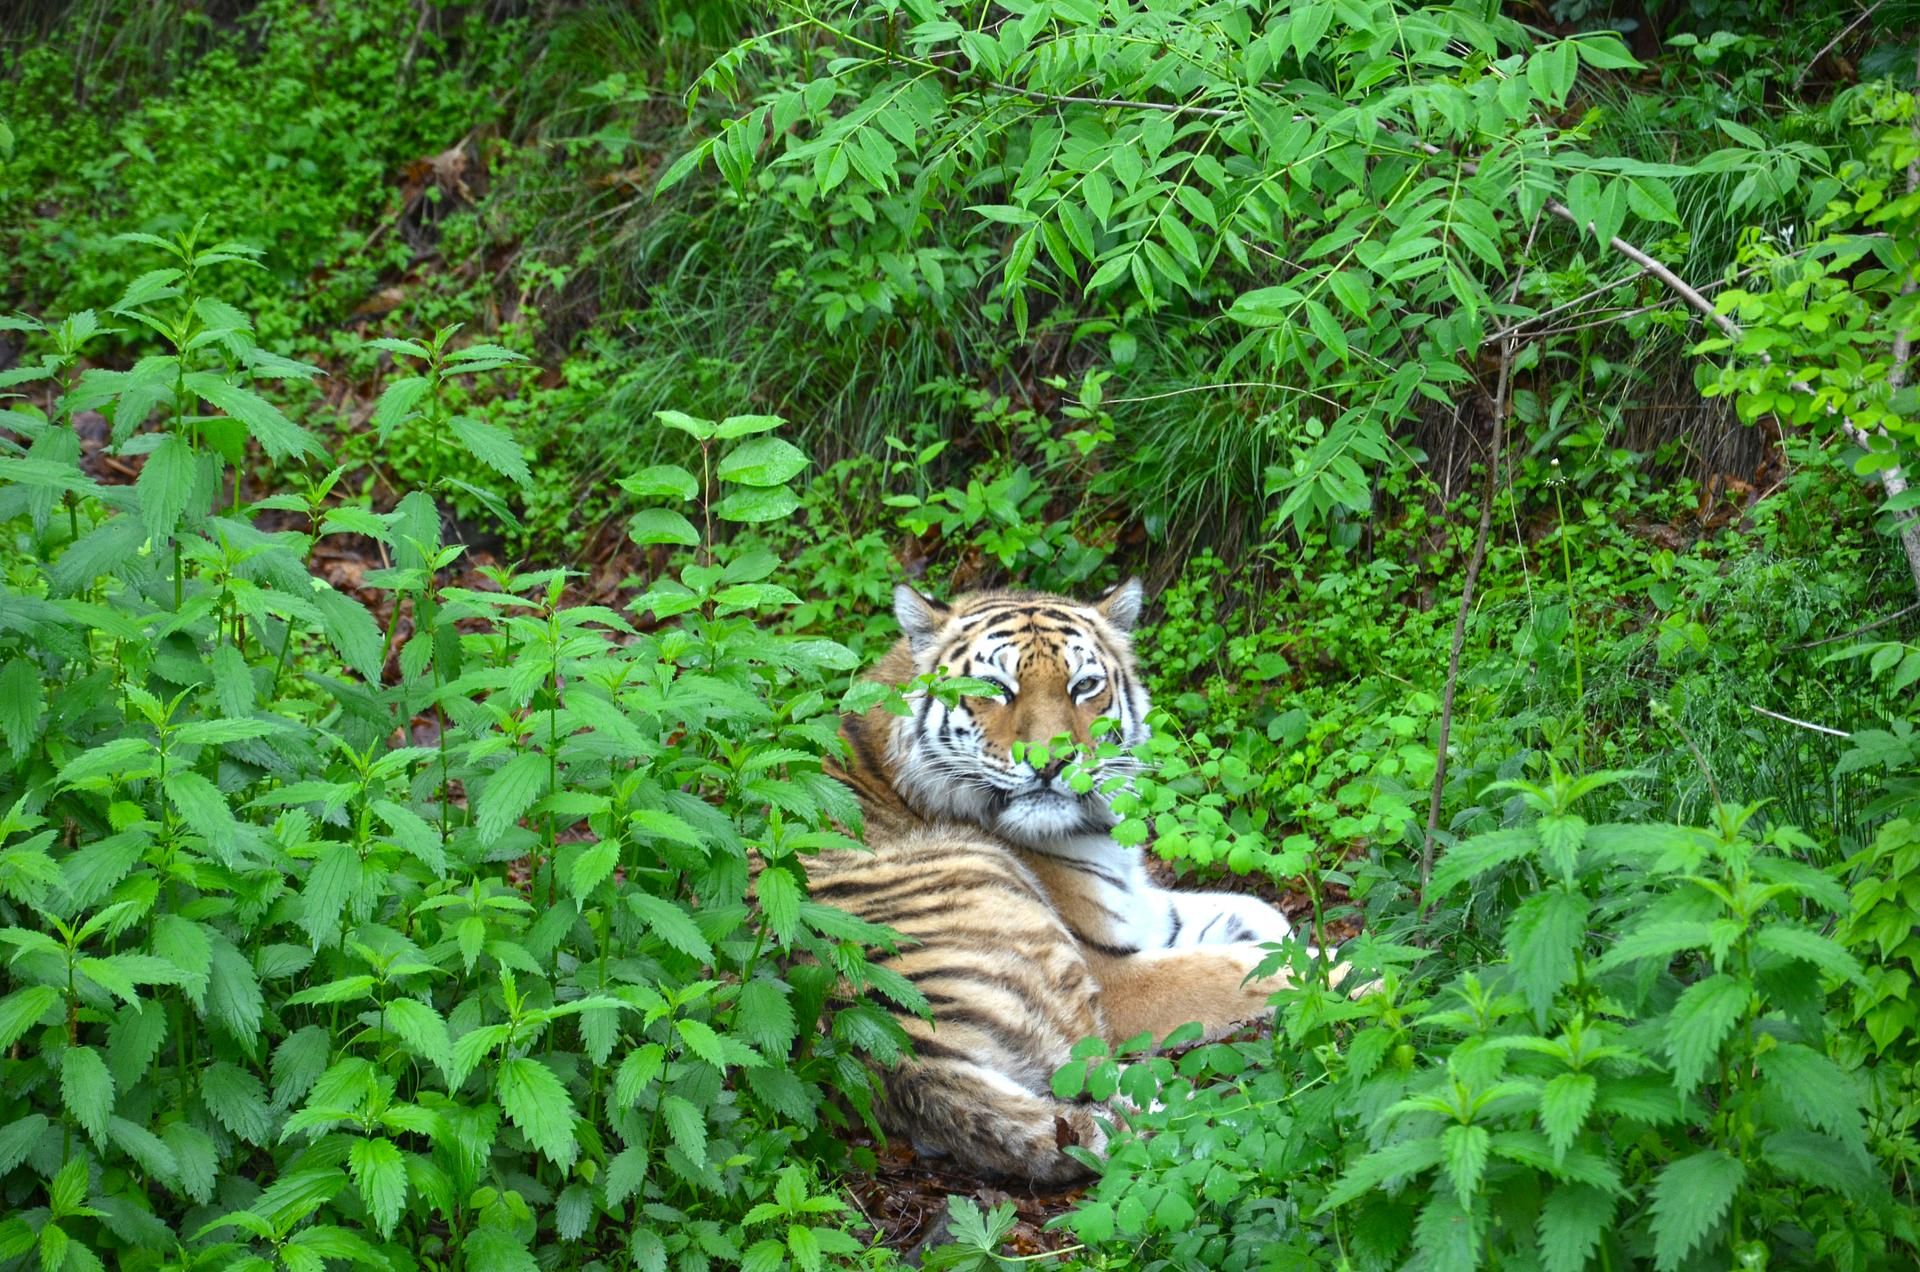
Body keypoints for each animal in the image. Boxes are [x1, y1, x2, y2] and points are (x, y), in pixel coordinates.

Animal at [810, 584, 1336, 1191]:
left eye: (1083, 685)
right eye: (996, 688)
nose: (1051, 760)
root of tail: (880, 1042)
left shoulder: (1140, 909)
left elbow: (1257, 915)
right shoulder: (1112, 973)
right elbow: (1252, 972)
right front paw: (1358, 975)